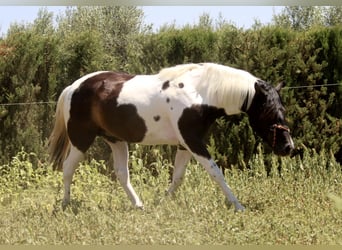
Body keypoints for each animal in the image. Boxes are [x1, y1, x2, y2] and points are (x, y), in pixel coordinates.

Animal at [48, 62, 294, 211]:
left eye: (282, 110)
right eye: (270, 113)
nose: (288, 147)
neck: (200, 93)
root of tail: (73, 87)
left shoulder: (186, 145)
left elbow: (178, 177)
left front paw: (162, 202)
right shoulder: (193, 142)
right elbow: (216, 173)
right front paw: (238, 206)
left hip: (116, 140)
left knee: (121, 174)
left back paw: (139, 206)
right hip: (81, 139)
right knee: (68, 168)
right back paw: (65, 204)